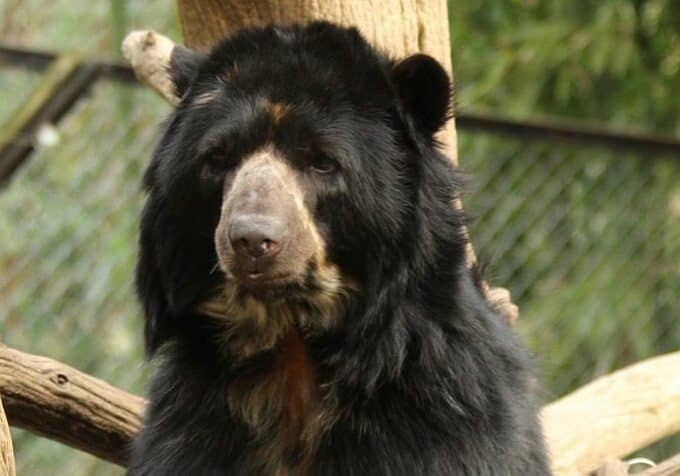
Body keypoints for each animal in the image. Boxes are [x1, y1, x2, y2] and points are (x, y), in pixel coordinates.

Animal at [128, 21, 552, 476]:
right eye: (219, 159)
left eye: (323, 163)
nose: (251, 241)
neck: (291, 338)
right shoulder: (193, 421)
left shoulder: (443, 413)